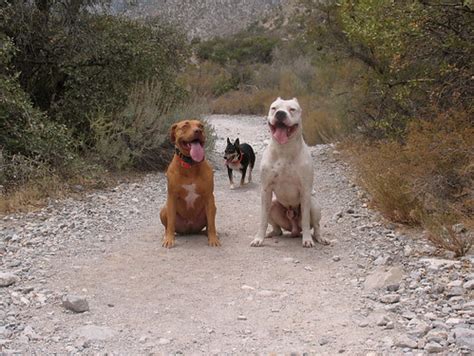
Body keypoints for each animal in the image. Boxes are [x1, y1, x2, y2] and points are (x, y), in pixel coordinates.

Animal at [158, 119, 219, 248]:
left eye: (201, 126)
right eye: (185, 125)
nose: (198, 131)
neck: (190, 164)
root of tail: (189, 230)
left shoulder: (209, 196)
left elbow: (212, 224)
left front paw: (213, 239)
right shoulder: (172, 197)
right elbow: (170, 223)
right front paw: (169, 239)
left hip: (212, 208)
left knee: (209, 224)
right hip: (164, 210)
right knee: (168, 226)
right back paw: (167, 235)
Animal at [252, 97, 330, 248]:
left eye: (292, 109)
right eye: (274, 108)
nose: (280, 114)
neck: (284, 150)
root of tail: (294, 228)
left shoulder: (305, 190)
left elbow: (305, 219)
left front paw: (307, 240)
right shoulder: (266, 190)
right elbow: (263, 219)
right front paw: (259, 238)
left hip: (313, 205)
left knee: (316, 226)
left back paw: (319, 238)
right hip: (273, 204)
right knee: (278, 228)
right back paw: (272, 233)